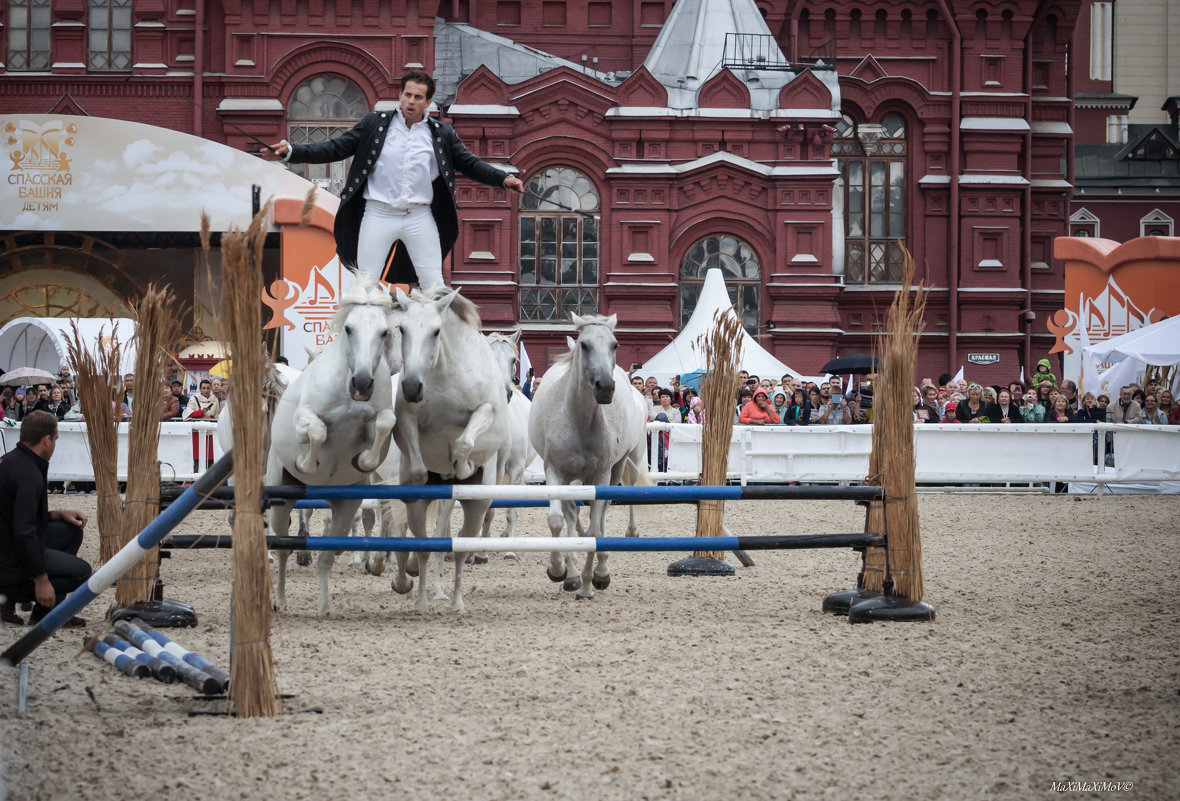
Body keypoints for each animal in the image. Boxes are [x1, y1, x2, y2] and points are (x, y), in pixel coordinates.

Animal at [267, 276, 396, 613]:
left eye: (384, 331)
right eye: (349, 328)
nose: (362, 384)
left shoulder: (379, 421)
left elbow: (384, 423)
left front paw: (361, 461)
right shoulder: (306, 417)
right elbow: (317, 431)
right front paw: (307, 463)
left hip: (345, 507)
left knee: (326, 557)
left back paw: (325, 607)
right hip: (280, 499)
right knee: (282, 548)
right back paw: (280, 599)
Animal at [389, 286, 505, 613]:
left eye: (436, 331)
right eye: (402, 329)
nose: (411, 386)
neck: (443, 374)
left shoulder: (486, 409)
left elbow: (465, 442)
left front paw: (462, 467)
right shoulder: (407, 418)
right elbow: (417, 466)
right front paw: (425, 476)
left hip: (477, 507)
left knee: (462, 548)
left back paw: (456, 602)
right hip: (421, 513)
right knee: (425, 548)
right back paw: (421, 602)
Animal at [531, 313, 651, 601]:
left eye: (615, 345)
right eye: (584, 345)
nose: (605, 387)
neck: (580, 419)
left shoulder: (601, 474)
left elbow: (595, 529)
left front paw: (590, 582)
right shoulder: (555, 472)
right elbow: (557, 520)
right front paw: (560, 570)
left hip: (622, 466)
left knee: (605, 510)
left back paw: (601, 569)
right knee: (572, 514)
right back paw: (571, 572)